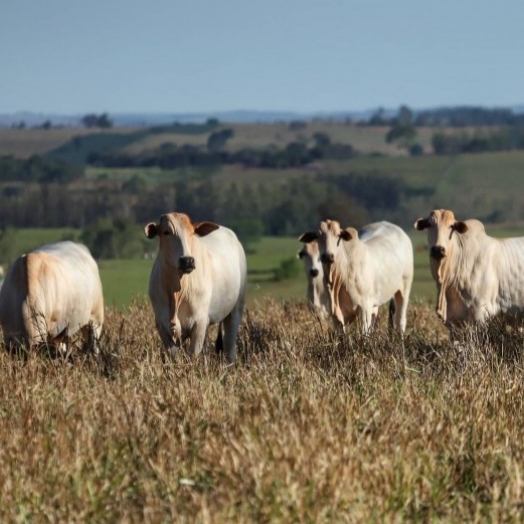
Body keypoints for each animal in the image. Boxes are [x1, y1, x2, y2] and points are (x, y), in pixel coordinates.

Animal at [144, 211, 247, 362]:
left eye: (192, 232)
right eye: (166, 232)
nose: (187, 261)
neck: (178, 290)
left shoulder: (199, 323)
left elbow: (192, 356)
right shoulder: (162, 326)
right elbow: (174, 358)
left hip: (235, 311)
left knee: (230, 348)